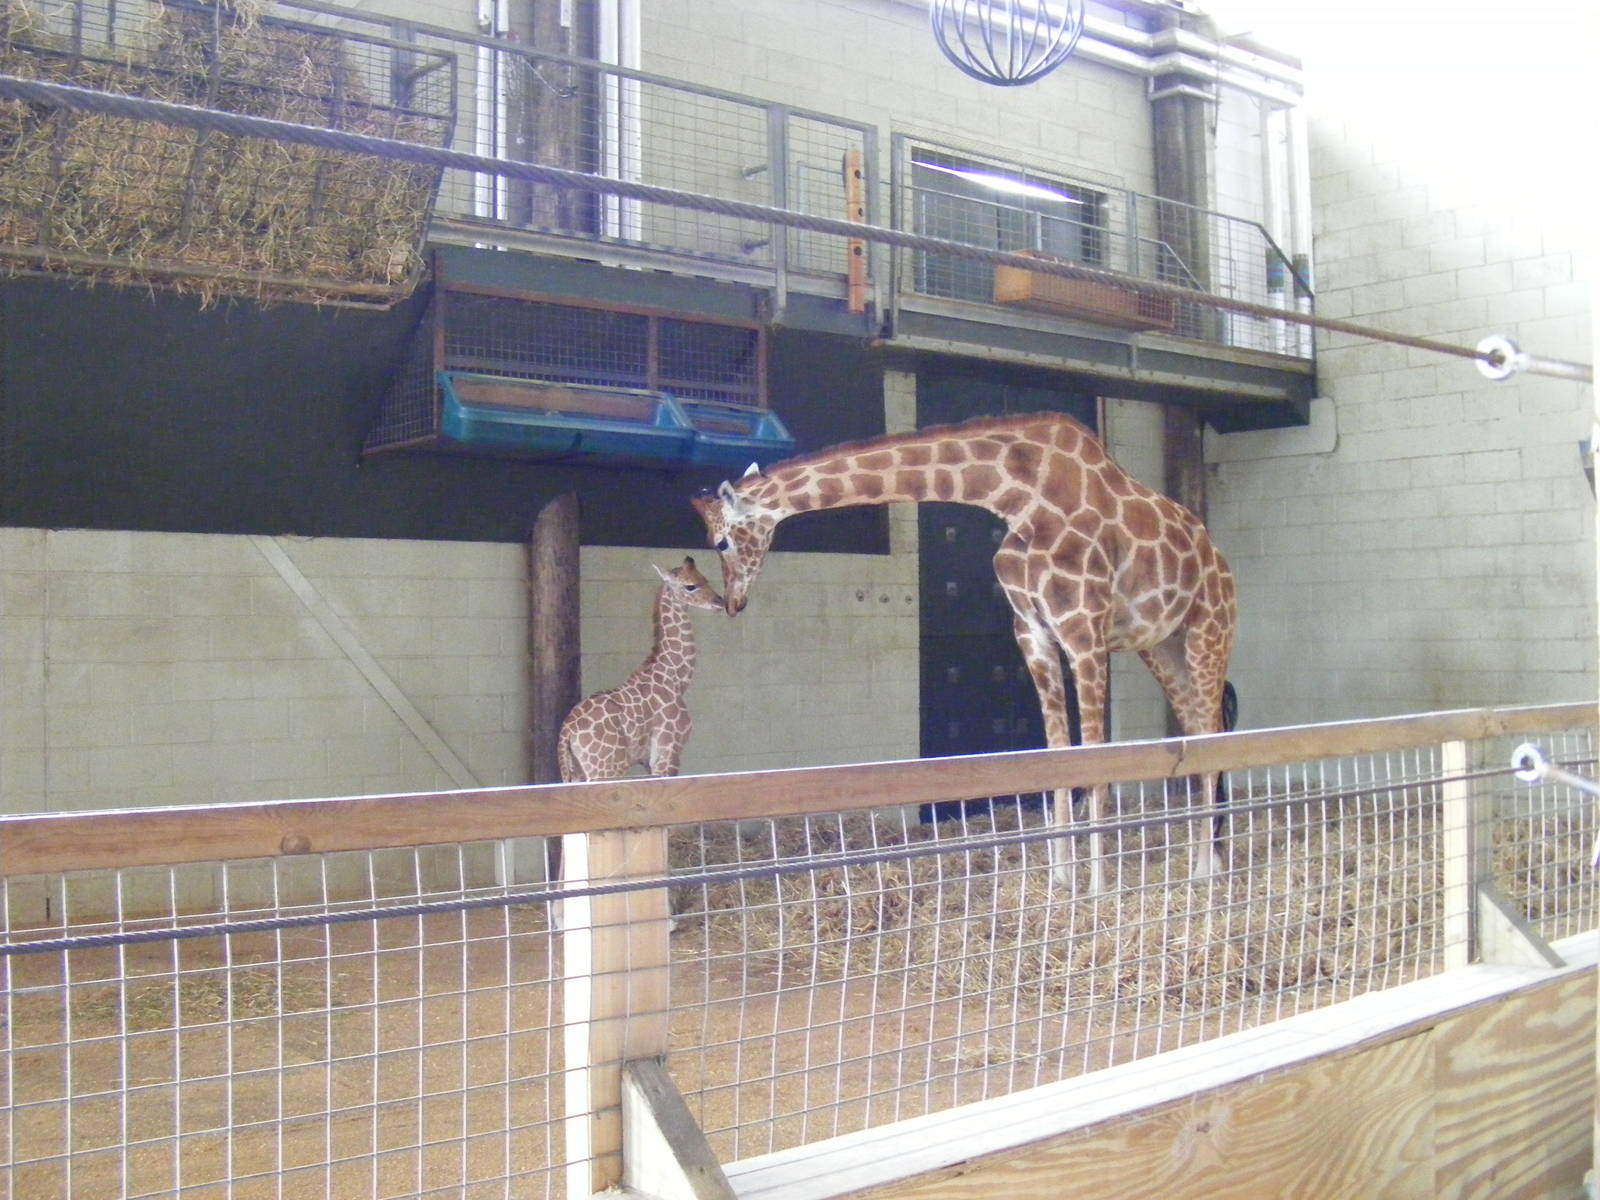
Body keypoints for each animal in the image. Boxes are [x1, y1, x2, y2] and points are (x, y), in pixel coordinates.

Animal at [557, 556, 725, 783]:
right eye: (690, 586)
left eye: (705, 578)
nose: (720, 602)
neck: (674, 677)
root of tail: (566, 734)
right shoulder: (668, 751)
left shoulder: (649, 761)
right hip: (604, 770)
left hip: (576, 773)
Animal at [690, 411, 1238, 892]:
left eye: (720, 542)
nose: (733, 603)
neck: (1019, 497)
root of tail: (1219, 558)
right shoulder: (1033, 633)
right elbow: (1058, 758)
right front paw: (1061, 883)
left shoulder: (1084, 629)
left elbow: (1097, 763)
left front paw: (1098, 891)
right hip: (1162, 646)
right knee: (1199, 731)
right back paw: (1205, 863)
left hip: (1209, 630)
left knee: (1214, 730)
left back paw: (1205, 875)